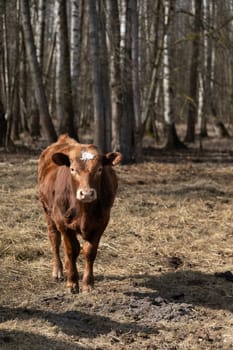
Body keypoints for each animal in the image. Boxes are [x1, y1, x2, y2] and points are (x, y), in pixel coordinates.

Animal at [38, 134, 122, 292]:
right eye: (72, 169)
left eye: (99, 169)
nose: (87, 193)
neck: (84, 210)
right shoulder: (63, 223)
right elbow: (72, 250)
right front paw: (72, 282)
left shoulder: (101, 222)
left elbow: (89, 251)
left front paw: (87, 284)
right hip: (47, 210)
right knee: (54, 238)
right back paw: (58, 270)